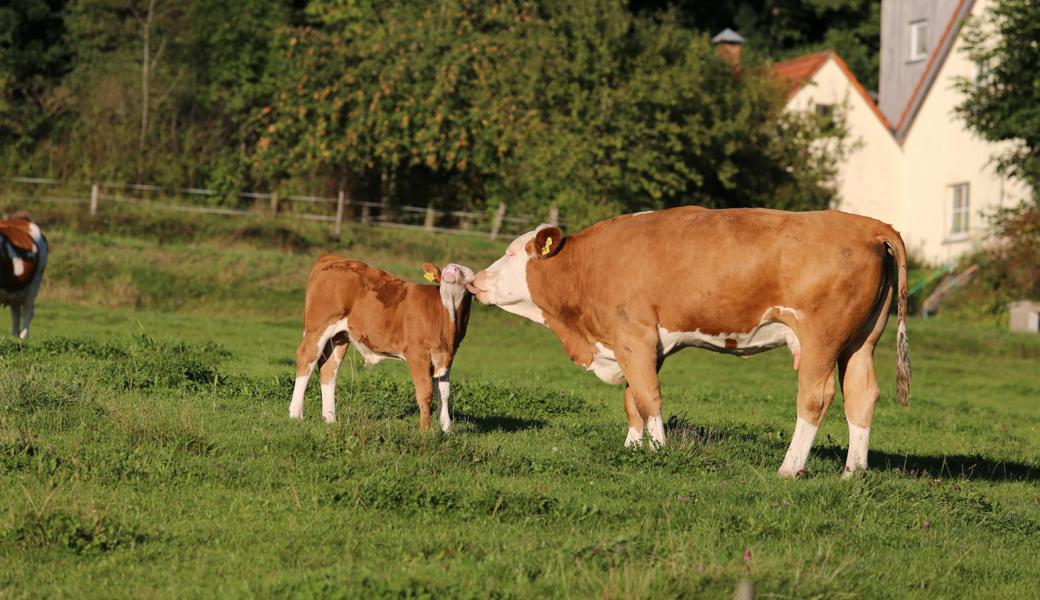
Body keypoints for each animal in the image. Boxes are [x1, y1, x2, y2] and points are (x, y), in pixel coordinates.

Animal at [0, 212, 48, 341]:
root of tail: (23, 219)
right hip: (15, 289)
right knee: (16, 312)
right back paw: (14, 336)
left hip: (36, 281)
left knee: (28, 310)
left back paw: (23, 337)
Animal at [289, 255, 476, 430]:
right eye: (446, 269)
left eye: (468, 275)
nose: (452, 268)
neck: (445, 319)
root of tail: (333, 258)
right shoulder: (417, 354)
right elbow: (426, 392)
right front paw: (426, 431)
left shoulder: (447, 356)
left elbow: (444, 393)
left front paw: (446, 429)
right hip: (318, 326)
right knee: (306, 358)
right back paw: (296, 414)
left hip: (339, 336)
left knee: (328, 369)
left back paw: (330, 419)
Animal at [472, 206, 911, 478]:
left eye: (511, 252)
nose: (475, 280)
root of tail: (867, 225)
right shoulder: (643, 343)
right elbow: (633, 399)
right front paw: (632, 448)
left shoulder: (633, 335)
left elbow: (648, 397)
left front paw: (659, 450)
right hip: (861, 342)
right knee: (861, 395)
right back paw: (853, 472)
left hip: (821, 339)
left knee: (815, 398)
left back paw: (790, 467)